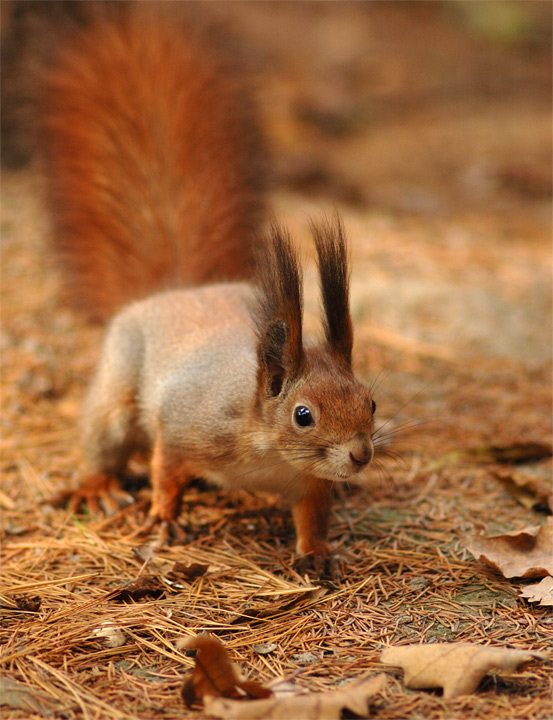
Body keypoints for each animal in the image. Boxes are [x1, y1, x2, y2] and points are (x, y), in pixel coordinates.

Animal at [37, 4, 376, 568]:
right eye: (303, 415)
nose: (360, 454)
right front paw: (163, 518)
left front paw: (316, 552)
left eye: (371, 402)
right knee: (103, 438)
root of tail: (176, 291)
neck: (268, 453)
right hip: (117, 387)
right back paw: (97, 486)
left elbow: (313, 514)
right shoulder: (183, 429)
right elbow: (165, 471)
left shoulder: (310, 483)